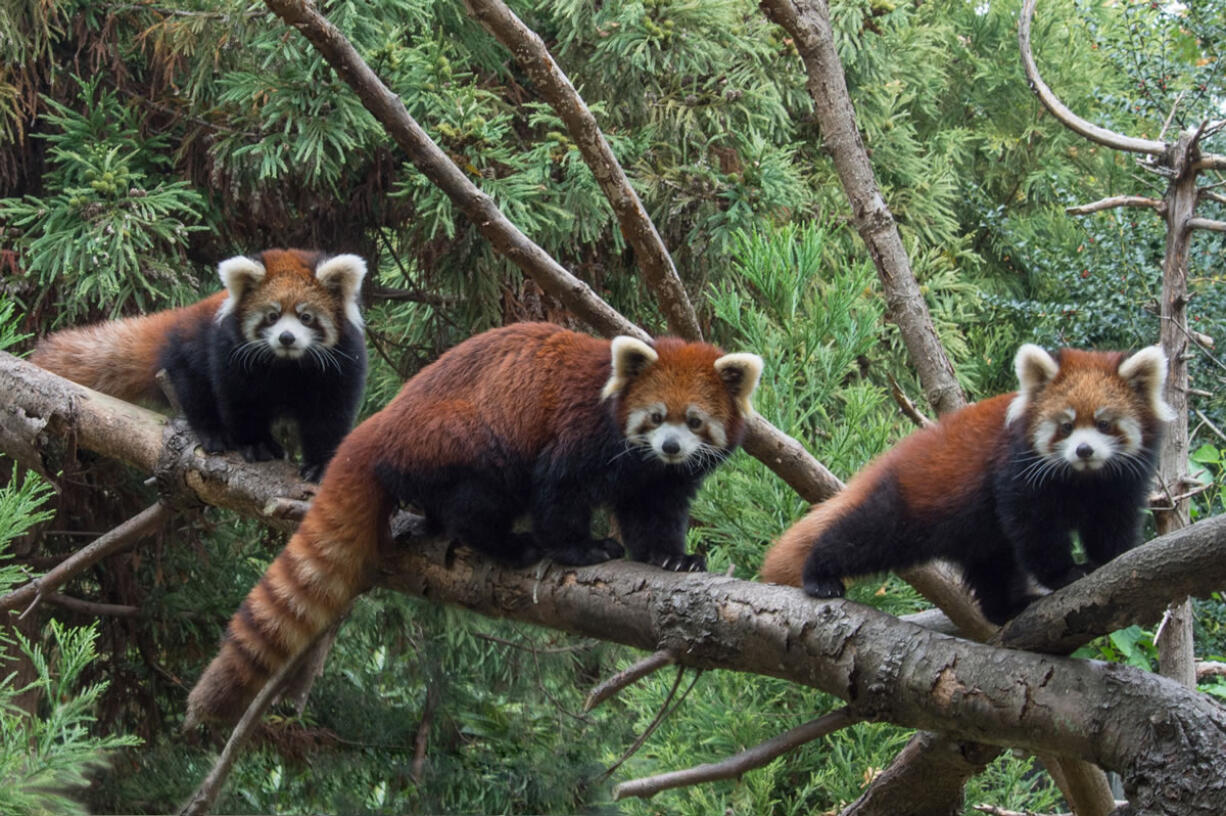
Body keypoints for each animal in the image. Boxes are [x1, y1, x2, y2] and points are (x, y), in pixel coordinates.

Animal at [31, 247, 365, 477]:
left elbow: (329, 416)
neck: (287, 365)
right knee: (197, 393)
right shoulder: (229, 355)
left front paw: (321, 463)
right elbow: (240, 402)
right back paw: (214, 432)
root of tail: (178, 319)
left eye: (306, 317)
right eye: (272, 316)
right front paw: (257, 444)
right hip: (188, 356)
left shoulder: (340, 365)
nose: (286, 337)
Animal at [182, 321, 760, 720]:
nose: (670, 446)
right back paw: (507, 544)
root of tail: (377, 426)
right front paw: (581, 549)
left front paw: (672, 558)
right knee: (480, 497)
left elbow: (655, 513)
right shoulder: (582, 432)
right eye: (656, 416)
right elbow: (560, 491)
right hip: (462, 437)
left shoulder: (659, 478)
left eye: (693, 422)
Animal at [760, 343, 1172, 622]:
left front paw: (1110, 560)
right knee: (860, 535)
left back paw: (1006, 608)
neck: (1081, 479)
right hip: (914, 502)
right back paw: (819, 575)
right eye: (1066, 426)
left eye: (1103, 423)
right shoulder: (1018, 473)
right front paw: (1064, 574)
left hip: (975, 535)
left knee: (992, 567)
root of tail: (897, 456)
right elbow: (1035, 531)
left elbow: (1111, 523)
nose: (1084, 450)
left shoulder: (1119, 483)